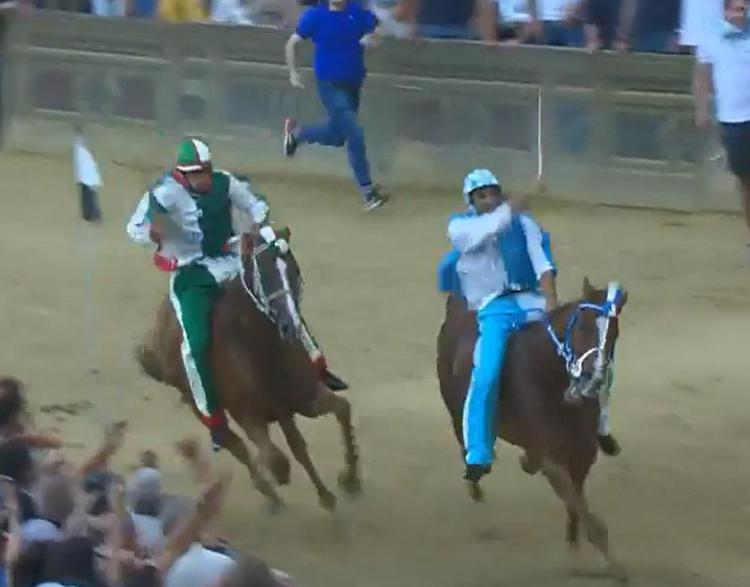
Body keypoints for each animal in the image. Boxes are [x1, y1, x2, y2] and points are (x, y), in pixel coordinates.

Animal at [137, 232, 362, 512]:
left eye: (294, 269)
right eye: (262, 274)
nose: (290, 326)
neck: (260, 348)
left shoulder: (305, 399)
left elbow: (339, 412)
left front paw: (348, 481)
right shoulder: (250, 415)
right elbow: (278, 456)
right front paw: (303, 485)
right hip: (195, 401)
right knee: (235, 444)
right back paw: (270, 494)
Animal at [438, 280, 632, 580]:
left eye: (614, 334)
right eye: (583, 327)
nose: (595, 379)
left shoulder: (583, 452)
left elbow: (576, 499)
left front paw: (573, 545)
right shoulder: (547, 453)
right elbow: (574, 497)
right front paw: (612, 563)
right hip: (454, 406)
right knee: (464, 439)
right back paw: (477, 479)